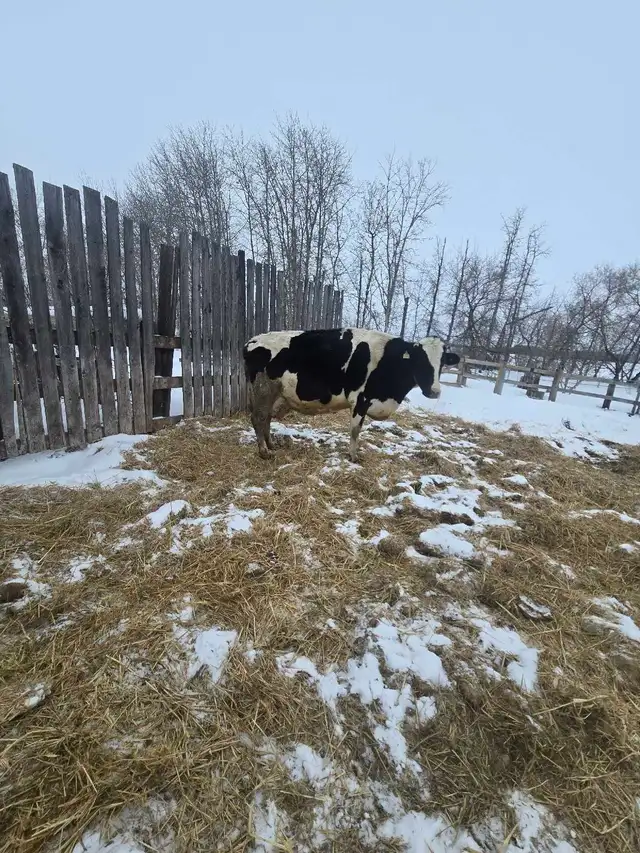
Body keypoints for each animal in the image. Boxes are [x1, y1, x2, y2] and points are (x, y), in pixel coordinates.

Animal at [243, 328, 460, 462]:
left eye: (442, 362)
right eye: (420, 360)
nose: (434, 391)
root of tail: (251, 341)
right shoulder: (361, 399)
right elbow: (355, 430)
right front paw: (354, 457)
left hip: (273, 392)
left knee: (266, 417)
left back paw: (271, 445)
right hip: (263, 388)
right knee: (258, 417)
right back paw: (264, 451)